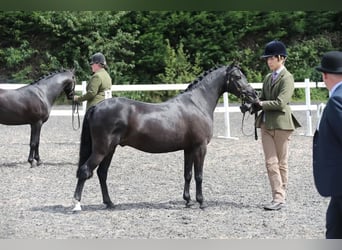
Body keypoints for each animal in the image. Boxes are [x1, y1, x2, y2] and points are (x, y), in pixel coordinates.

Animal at [73, 64, 260, 211]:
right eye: (238, 76)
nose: (253, 95)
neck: (197, 104)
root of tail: (96, 107)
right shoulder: (200, 147)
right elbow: (199, 175)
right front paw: (201, 202)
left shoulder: (189, 149)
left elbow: (188, 174)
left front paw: (188, 201)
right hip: (102, 149)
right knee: (85, 170)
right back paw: (77, 204)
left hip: (110, 149)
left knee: (102, 173)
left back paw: (109, 203)